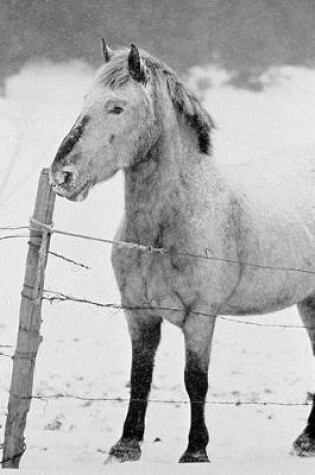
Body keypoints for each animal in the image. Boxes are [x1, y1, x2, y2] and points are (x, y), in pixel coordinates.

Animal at [50, 42, 315, 462]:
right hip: (309, 302)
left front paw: (196, 450)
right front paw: (126, 446)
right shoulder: (138, 313)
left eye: (117, 107)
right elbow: (140, 376)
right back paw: (306, 440)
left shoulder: (201, 316)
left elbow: (196, 380)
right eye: (85, 101)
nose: (61, 176)